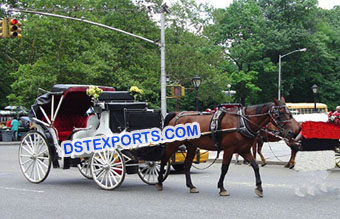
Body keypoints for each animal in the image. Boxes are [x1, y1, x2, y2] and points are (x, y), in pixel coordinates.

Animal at [155, 97, 298, 197]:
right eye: (279, 114)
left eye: (289, 113)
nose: (293, 132)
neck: (242, 122)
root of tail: (176, 114)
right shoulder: (229, 150)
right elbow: (224, 168)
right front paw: (222, 188)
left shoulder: (244, 150)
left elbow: (255, 166)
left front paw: (259, 188)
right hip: (173, 144)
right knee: (163, 160)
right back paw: (159, 181)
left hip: (191, 146)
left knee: (187, 164)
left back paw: (191, 186)